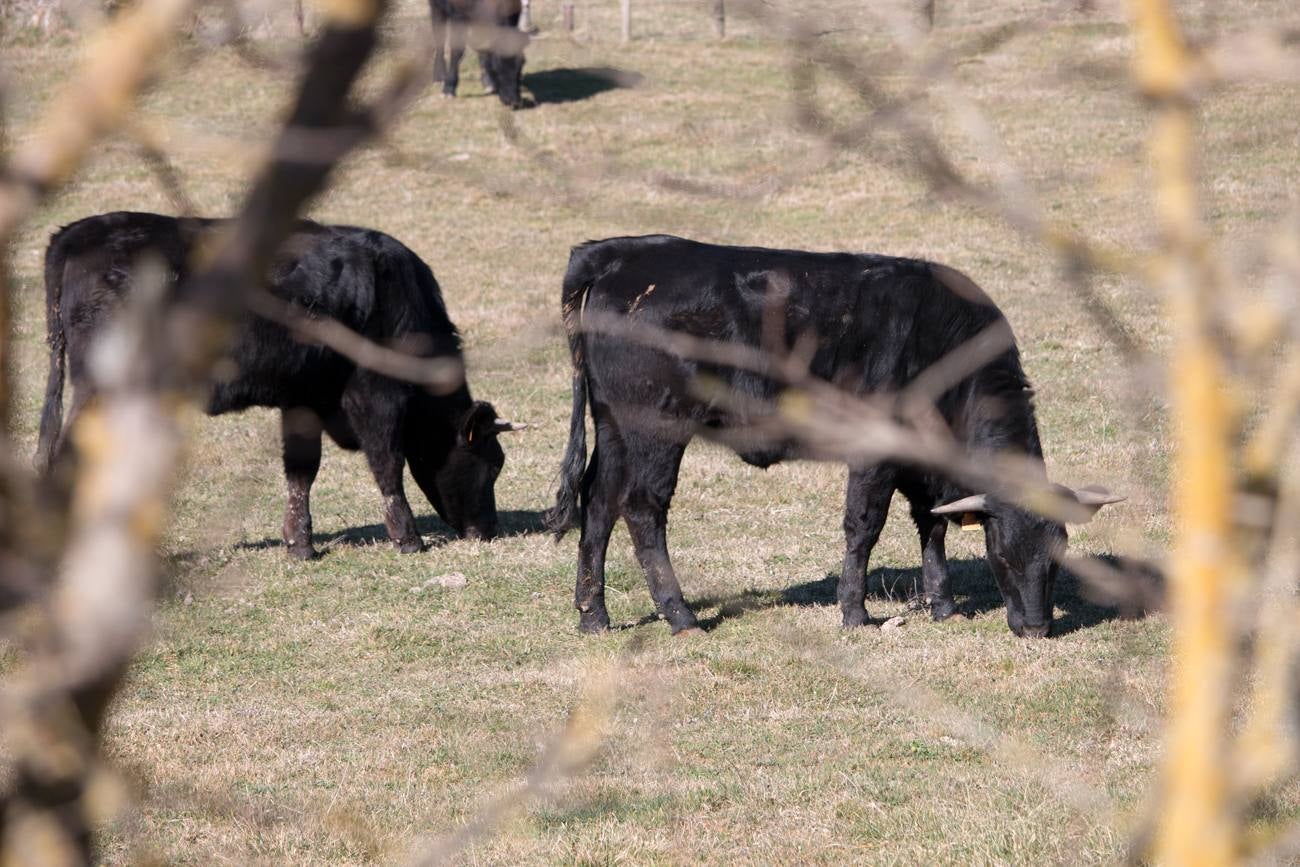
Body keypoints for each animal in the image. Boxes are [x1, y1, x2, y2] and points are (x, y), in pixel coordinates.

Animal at [39, 213, 522, 558]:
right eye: (492, 463)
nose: (490, 531)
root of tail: (75, 232)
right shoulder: (373, 394)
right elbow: (388, 462)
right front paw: (408, 539)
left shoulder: (303, 399)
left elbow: (301, 470)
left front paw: (299, 544)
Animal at [543, 235, 1123, 636]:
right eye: (1002, 554)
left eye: (1058, 557)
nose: (1036, 628)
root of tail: (618, 253)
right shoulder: (875, 451)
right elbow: (863, 526)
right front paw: (855, 612)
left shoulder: (924, 464)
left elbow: (932, 523)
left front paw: (943, 606)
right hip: (655, 428)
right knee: (643, 508)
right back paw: (681, 616)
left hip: (613, 424)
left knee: (599, 502)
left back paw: (593, 616)